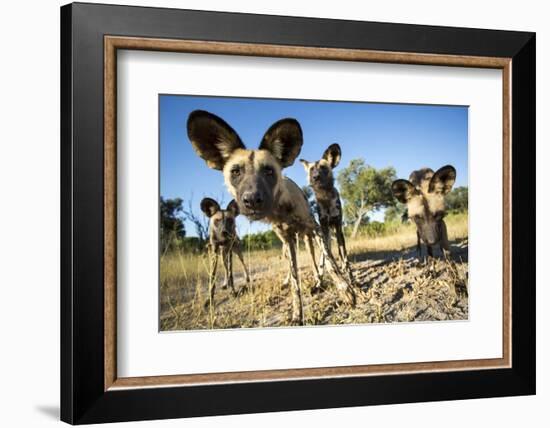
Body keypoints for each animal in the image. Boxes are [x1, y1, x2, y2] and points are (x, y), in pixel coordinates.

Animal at [300, 145, 356, 284]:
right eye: (311, 170)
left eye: (323, 168)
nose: (315, 177)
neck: (325, 197)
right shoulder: (324, 228)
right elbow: (326, 256)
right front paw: (321, 279)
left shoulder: (338, 227)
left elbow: (345, 258)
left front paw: (351, 280)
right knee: (321, 257)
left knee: (340, 254)